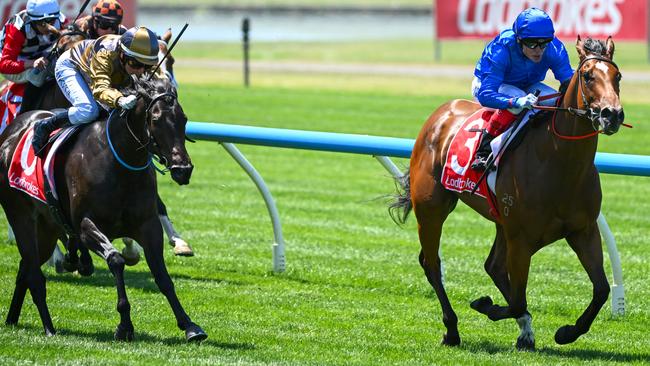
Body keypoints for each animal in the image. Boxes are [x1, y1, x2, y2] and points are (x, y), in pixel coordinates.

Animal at [0, 76, 205, 342]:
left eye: (184, 119)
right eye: (156, 119)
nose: (183, 169)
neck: (119, 163)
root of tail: (11, 133)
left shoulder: (148, 226)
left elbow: (162, 276)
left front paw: (189, 325)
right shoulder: (86, 226)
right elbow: (116, 260)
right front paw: (125, 325)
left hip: (46, 229)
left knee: (26, 268)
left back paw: (12, 318)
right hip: (21, 216)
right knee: (34, 275)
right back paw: (49, 328)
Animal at [390, 36, 624, 348]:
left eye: (617, 76)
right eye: (588, 76)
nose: (612, 115)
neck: (559, 162)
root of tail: (440, 113)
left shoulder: (583, 231)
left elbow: (600, 289)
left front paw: (566, 332)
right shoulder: (521, 238)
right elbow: (517, 300)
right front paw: (485, 305)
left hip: (501, 221)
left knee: (494, 266)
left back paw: (524, 332)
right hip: (431, 208)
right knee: (432, 264)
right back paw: (452, 329)